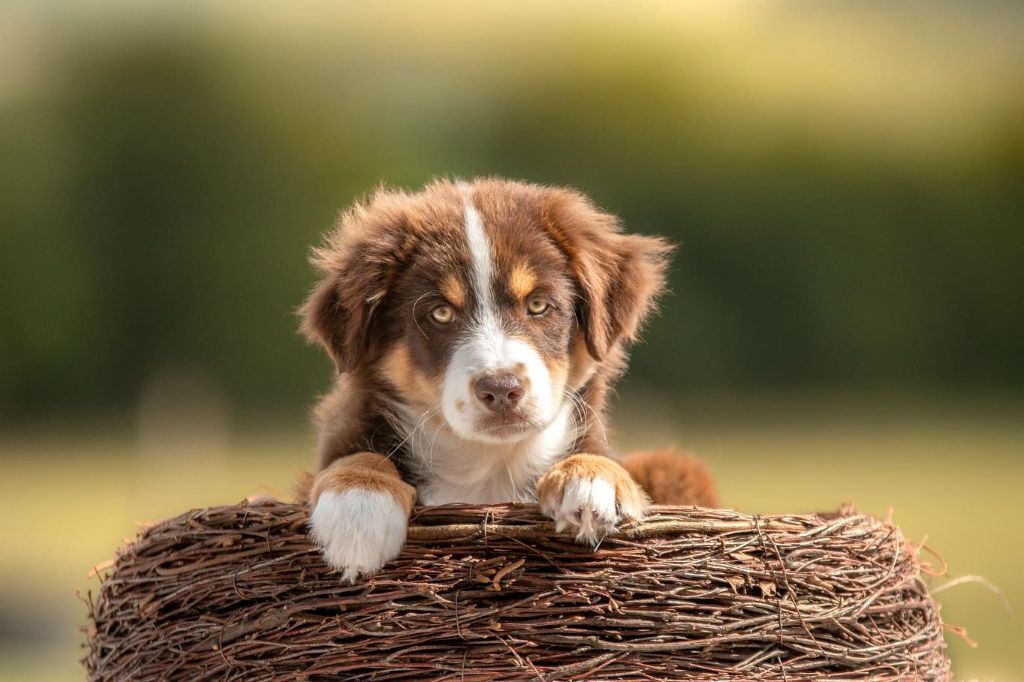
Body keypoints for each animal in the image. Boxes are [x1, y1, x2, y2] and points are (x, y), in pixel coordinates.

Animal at [296, 179, 712, 577]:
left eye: (538, 305)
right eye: (441, 313)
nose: (501, 390)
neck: (490, 468)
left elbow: (596, 455)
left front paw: (593, 479)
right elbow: (359, 456)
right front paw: (359, 507)